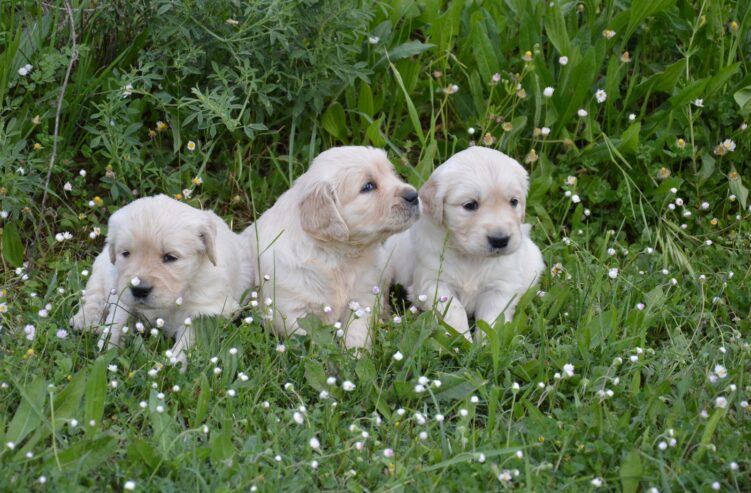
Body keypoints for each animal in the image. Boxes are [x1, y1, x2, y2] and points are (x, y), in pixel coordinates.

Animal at [71, 194, 253, 368]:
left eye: (170, 257)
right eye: (126, 253)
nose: (139, 290)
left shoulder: (205, 312)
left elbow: (188, 340)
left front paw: (171, 366)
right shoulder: (122, 293)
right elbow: (116, 320)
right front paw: (107, 350)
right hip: (104, 266)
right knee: (94, 292)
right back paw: (86, 320)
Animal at [247, 144, 424, 348]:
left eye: (392, 173)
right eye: (368, 186)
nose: (414, 195)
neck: (336, 255)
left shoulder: (363, 298)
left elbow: (357, 331)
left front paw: (354, 353)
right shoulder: (291, 309)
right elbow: (310, 338)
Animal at [388, 145, 548, 338]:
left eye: (513, 202)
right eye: (470, 205)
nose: (500, 240)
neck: (471, 257)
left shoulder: (500, 288)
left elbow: (492, 321)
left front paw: (485, 343)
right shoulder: (433, 282)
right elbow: (455, 311)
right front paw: (461, 338)